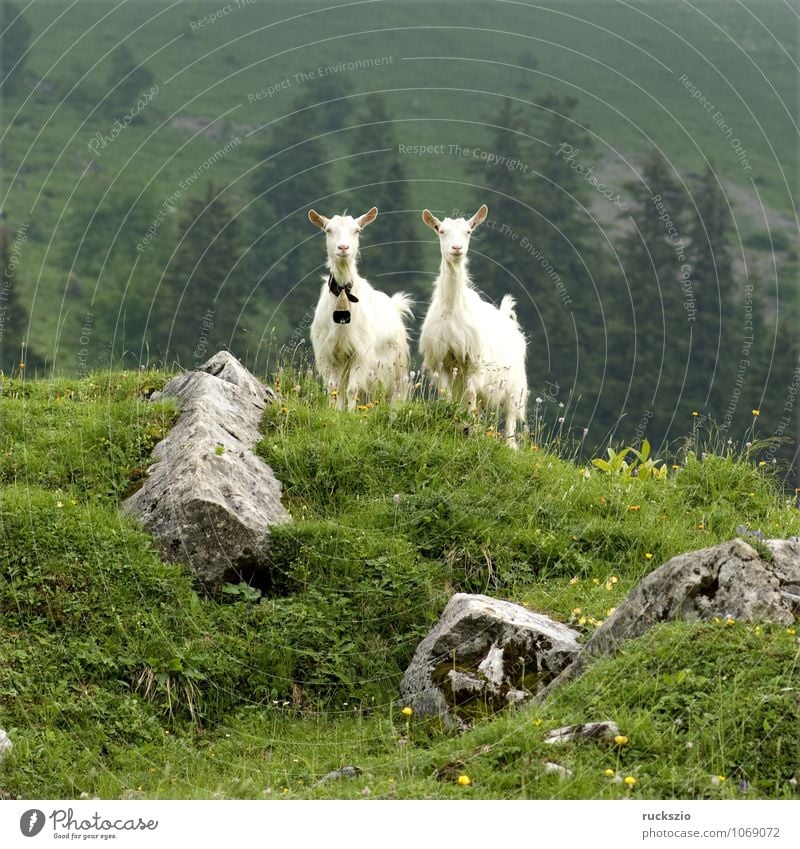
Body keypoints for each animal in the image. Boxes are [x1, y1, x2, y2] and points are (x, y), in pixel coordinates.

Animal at [418, 205, 532, 444]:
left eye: (468, 231)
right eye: (441, 230)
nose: (457, 248)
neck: (452, 309)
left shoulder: (474, 362)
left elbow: (470, 395)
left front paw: (469, 428)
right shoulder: (441, 361)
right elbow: (447, 394)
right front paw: (453, 420)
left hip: (514, 381)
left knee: (510, 412)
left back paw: (509, 444)